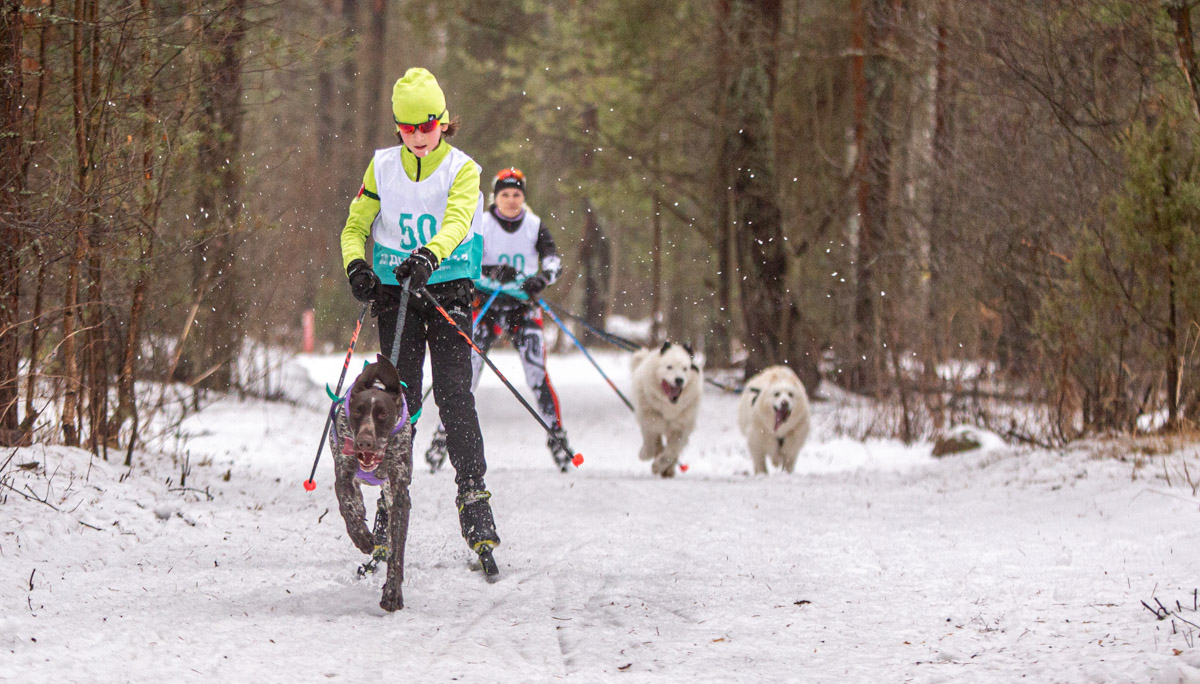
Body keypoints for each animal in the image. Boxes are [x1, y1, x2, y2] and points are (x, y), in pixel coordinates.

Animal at [331, 355, 415, 609]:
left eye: (382, 414)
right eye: (358, 412)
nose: (365, 443)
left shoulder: (399, 493)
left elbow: (396, 550)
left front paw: (392, 593)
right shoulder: (343, 476)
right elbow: (347, 508)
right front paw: (362, 536)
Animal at [628, 338, 700, 477]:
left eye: (685, 368)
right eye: (669, 367)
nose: (679, 380)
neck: (668, 407)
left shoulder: (681, 429)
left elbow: (670, 453)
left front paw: (658, 466)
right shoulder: (649, 423)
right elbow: (650, 445)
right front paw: (644, 454)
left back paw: (668, 469)